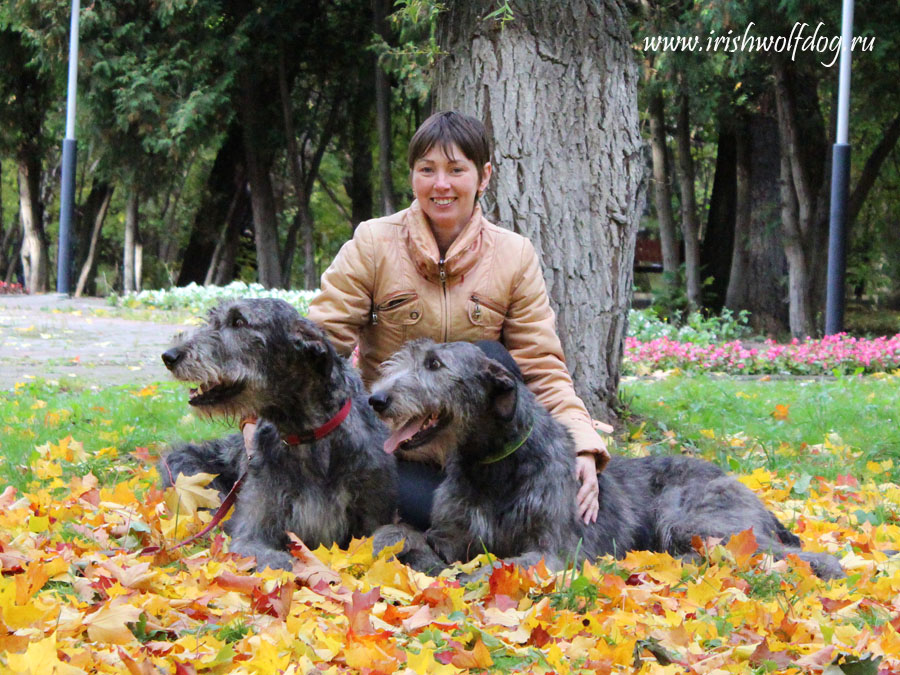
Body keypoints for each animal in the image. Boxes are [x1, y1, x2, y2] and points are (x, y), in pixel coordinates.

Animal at [159, 298, 398, 568]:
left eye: (239, 322)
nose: (169, 356)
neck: (306, 436)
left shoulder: (372, 514)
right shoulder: (252, 532)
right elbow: (279, 562)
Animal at [366, 344, 844, 580]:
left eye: (434, 364)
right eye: (399, 361)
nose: (377, 399)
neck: (493, 465)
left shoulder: (559, 549)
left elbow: (506, 563)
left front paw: (464, 579)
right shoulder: (455, 533)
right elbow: (394, 533)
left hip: (695, 519)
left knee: (803, 555)